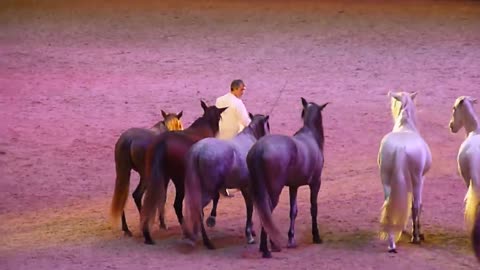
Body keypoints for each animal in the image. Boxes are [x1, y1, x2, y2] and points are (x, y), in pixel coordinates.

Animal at [140, 100, 228, 245]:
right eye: (220, 118)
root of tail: (162, 143)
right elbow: (214, 196)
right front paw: (211, 219)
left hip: (160, 178)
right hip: (179, 181)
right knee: (176, 204)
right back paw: (187, 231)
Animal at [248, 98, 326, 258]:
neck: (311, 136)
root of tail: (259, 148)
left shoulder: (293, 186)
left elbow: (293, 211)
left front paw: (291, 239)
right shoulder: (316, 183)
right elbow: (313, 208)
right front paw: (316, 236)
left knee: (263, 214)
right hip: (274, 191)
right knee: (267, 212)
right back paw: (267, 248)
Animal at [378, 91, 432, 253]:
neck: (406, 125)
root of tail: (401, 148)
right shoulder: (421, 179)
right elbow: (416, 204)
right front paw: (417, 232)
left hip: (386, 180)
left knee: (389, 205)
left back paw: (391, 243)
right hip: (416, 180)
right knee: (415, 206)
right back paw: (415, 237)